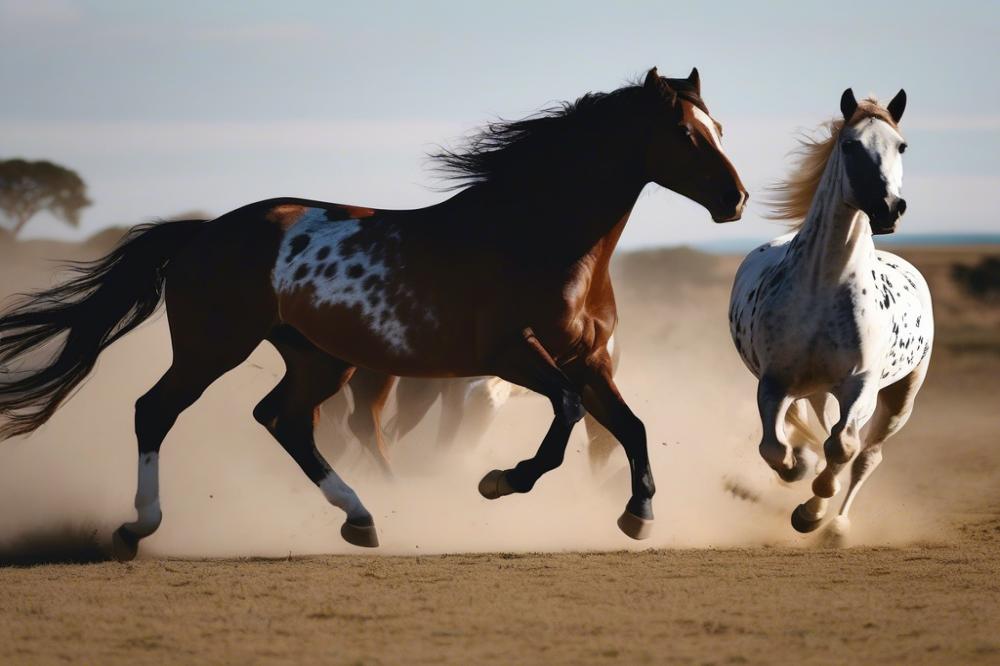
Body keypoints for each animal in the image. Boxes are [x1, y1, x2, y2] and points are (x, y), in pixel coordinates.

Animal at [0, 67, 744, 556]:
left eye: (720, 126)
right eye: (684, 132)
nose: (733, 199)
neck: (537, 237)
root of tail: (203, 232)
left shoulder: (586, 360)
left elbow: (631, 426)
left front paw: (638, 515)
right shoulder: (512, 355)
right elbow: (564, 416)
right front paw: (500, 481)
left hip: (318, 358)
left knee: (285, 420)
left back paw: (361, 517)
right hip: (215, 346)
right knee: (157, 411)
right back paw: (138, 528)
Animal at [728, 88, 928, 540]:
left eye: (901, 145)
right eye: (850, 145)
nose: (888, 208)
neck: (825, 286)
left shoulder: (860, 384)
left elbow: (843, 446)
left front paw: (811, 513)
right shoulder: (775, 382)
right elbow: (777, 448)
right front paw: (800, 469)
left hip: (899, 396)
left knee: (867, 455)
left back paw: (837, 525)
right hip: (817, 391)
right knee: (819, 433)